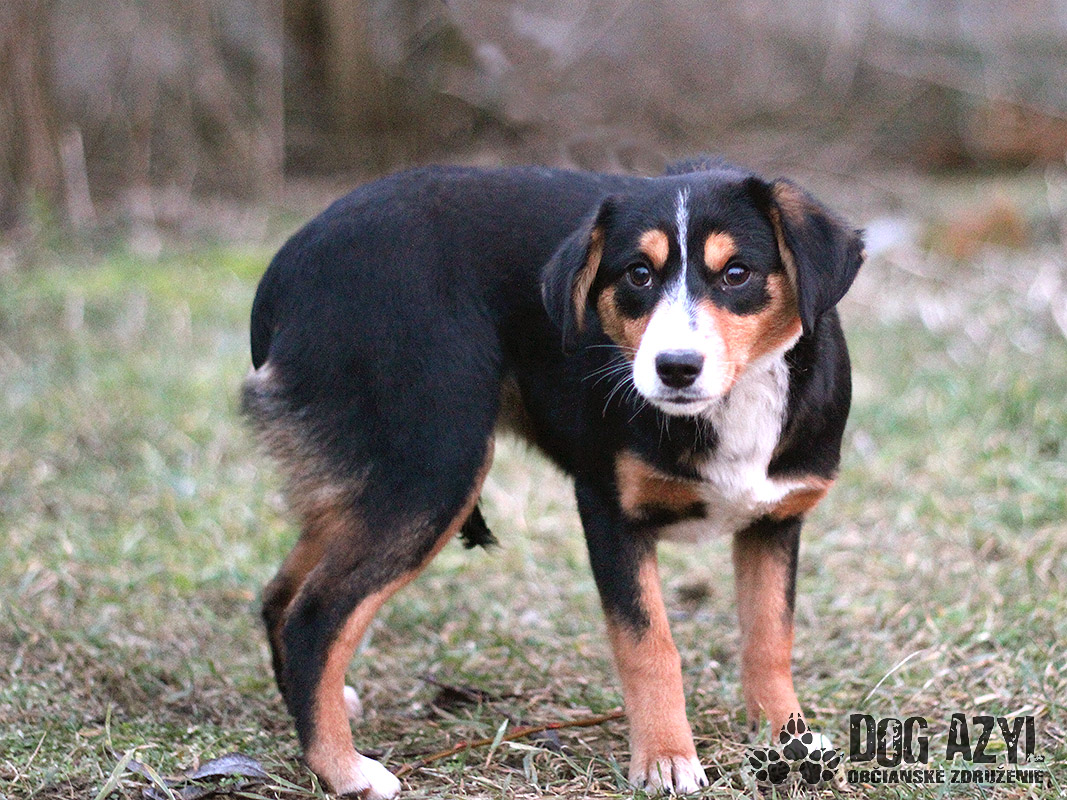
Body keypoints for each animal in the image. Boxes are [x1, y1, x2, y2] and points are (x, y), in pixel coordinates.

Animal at [242, 157, 863, 798]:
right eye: (639, 274)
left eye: (737, 273)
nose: (675, 367)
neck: (734, 403)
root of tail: (288, 266)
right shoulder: (609, 511)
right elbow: (649, 645)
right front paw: (665, 758)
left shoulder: (775, 520)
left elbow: (770, 639)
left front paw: (789, 741)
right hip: (434, 467)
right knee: (315, 617)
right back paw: (344, 769)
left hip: (374, 478)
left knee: (281, 596)